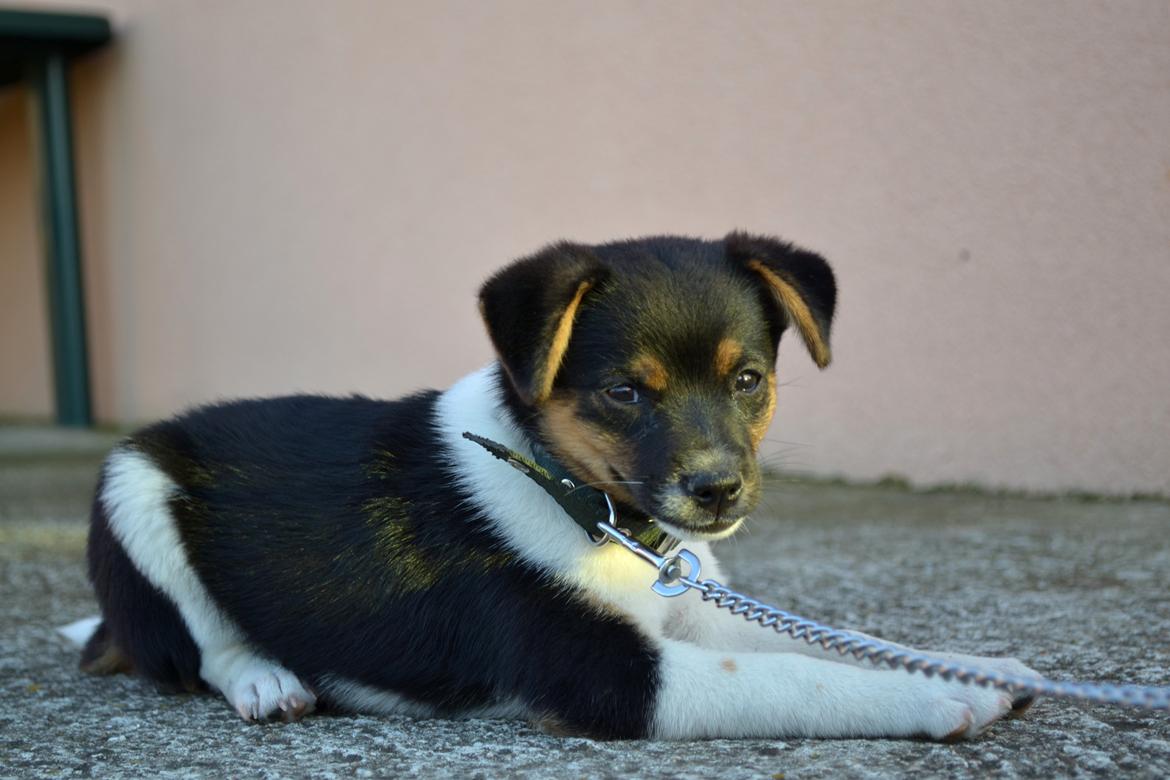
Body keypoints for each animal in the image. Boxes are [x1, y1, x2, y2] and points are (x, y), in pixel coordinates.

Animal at [66, 231, 1034, 739]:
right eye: (624, 392)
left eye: (748, 379)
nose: (717, 492)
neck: (588, 505)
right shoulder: (610, 676)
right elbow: (801, 678)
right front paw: (944, 696)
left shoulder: (689, 610)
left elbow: (839, 642)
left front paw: (977, 664)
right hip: (131, 489)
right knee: (200, 643)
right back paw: (268, 680)